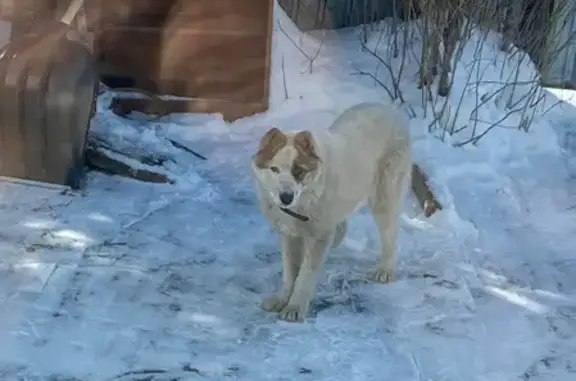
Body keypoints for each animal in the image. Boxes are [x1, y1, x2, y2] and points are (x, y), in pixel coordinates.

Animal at [250, 101, 412, 320]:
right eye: (274, 169)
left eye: (298, 170)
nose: (285, 197)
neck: (303, 201)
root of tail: (388, 109)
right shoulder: (289, 234)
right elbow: (289, 272)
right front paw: (282, 299)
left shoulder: (318, 235)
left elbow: (305, 275)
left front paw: (295, 307)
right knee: (342, 227)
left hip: (384, 197)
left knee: (389, 234)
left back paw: (386, 270)